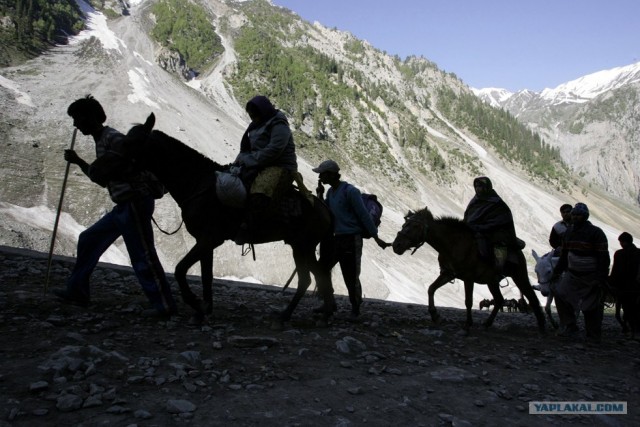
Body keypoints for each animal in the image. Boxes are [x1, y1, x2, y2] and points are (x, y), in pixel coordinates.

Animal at [122, 112, 338, 326]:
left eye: (134, 141)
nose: (113, 168)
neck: (199, 183)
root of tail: (325, 209)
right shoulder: (204, 242)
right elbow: (206, 275)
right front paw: (203, 310)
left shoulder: (210, 238)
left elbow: (180, 269)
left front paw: (195, 303)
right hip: (301, 247)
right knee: (317, 276)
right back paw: (321, 313)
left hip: (303, 246)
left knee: (308, 279)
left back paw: (290, 315)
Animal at [390, 208, 544, 334]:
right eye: (404, 225)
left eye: (415, 226)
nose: (396, 245)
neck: (453, 244)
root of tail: (518, 249)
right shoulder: (447, 274)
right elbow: (431, 289)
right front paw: (435, 315)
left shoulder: (468, 278)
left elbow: (468, 301)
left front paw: (468, 324)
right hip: (492, 281)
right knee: (499, 300)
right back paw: (487, 323)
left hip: (519, 276)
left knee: (532, 298)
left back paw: (542, 325)